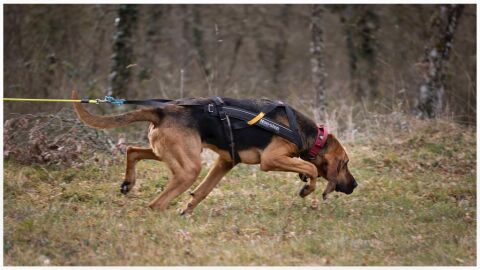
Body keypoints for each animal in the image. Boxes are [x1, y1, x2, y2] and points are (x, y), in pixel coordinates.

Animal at [72, 91, 356, 215]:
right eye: (345, 164)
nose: (355, 185)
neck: (308, 134)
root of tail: (162, 110)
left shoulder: (225, 162)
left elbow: (202, 192)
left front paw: (187, 209)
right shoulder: (270, 159)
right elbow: (309, 168)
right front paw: (307, 188)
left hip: (168, 152)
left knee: (132, 151)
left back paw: (128, 183)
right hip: (188, 168)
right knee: (156, 203)